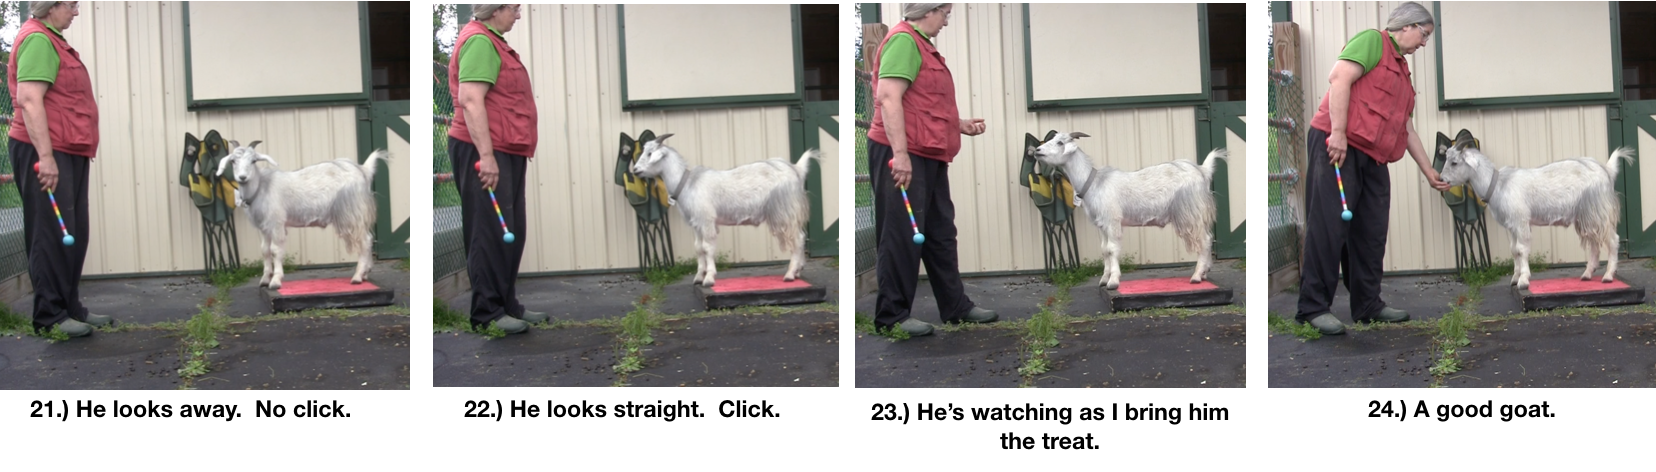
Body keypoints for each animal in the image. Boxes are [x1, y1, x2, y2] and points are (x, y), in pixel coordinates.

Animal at [217, 141, 388, 289]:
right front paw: (265, 279)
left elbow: (275, 250)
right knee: (369, 239)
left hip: (352, 212)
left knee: (365, 240)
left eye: (253, 161)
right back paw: (365, 273)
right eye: (232, 161)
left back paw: (358, 276)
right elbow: (265, 250)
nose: (242, 177)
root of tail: (363, 170)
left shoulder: (276, 223)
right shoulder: (263, 227)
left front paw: (276, 280)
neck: (260, 188)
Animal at [627, 134, 815, 287]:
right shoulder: (696, 224)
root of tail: (796, 169)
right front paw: (698, 277)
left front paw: (709, 278)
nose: (635, 170)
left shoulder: (707, 220)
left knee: (797, 239)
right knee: (801, 237)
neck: (687, 183)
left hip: (785, 210)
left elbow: (708, 247)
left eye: (650, 153)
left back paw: (790, 274)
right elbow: (698, 248)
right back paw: (798, 271)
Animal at [1028, 132, 1224, 289]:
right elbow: (1104, 249)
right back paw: (1204, 272)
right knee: (1208, 238)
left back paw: (1197, 275)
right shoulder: (1101, 225)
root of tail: (1202, 170)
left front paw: (1113, 281)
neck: (1094, 183)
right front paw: (1104, 278)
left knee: (1205, 240)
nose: (1037, 150)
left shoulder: (1112, 221)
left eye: (1060, 142)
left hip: (1191, 211)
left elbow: (1112, 249)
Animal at [1437, 142, 1634, 289]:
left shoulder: (1521, 221)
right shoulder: (1511, 226)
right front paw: (1515, 278)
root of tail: (1606, 170)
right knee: (1594, 244)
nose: (1441, 180)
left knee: (1613, 240)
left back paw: (1608, 275)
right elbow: (1514, 250)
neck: (1498, 185)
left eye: (1454, 162)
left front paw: (1523, 280)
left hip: (1598, 210)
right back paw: (1587, 274)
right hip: (1586, 216)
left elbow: (1522, 249)